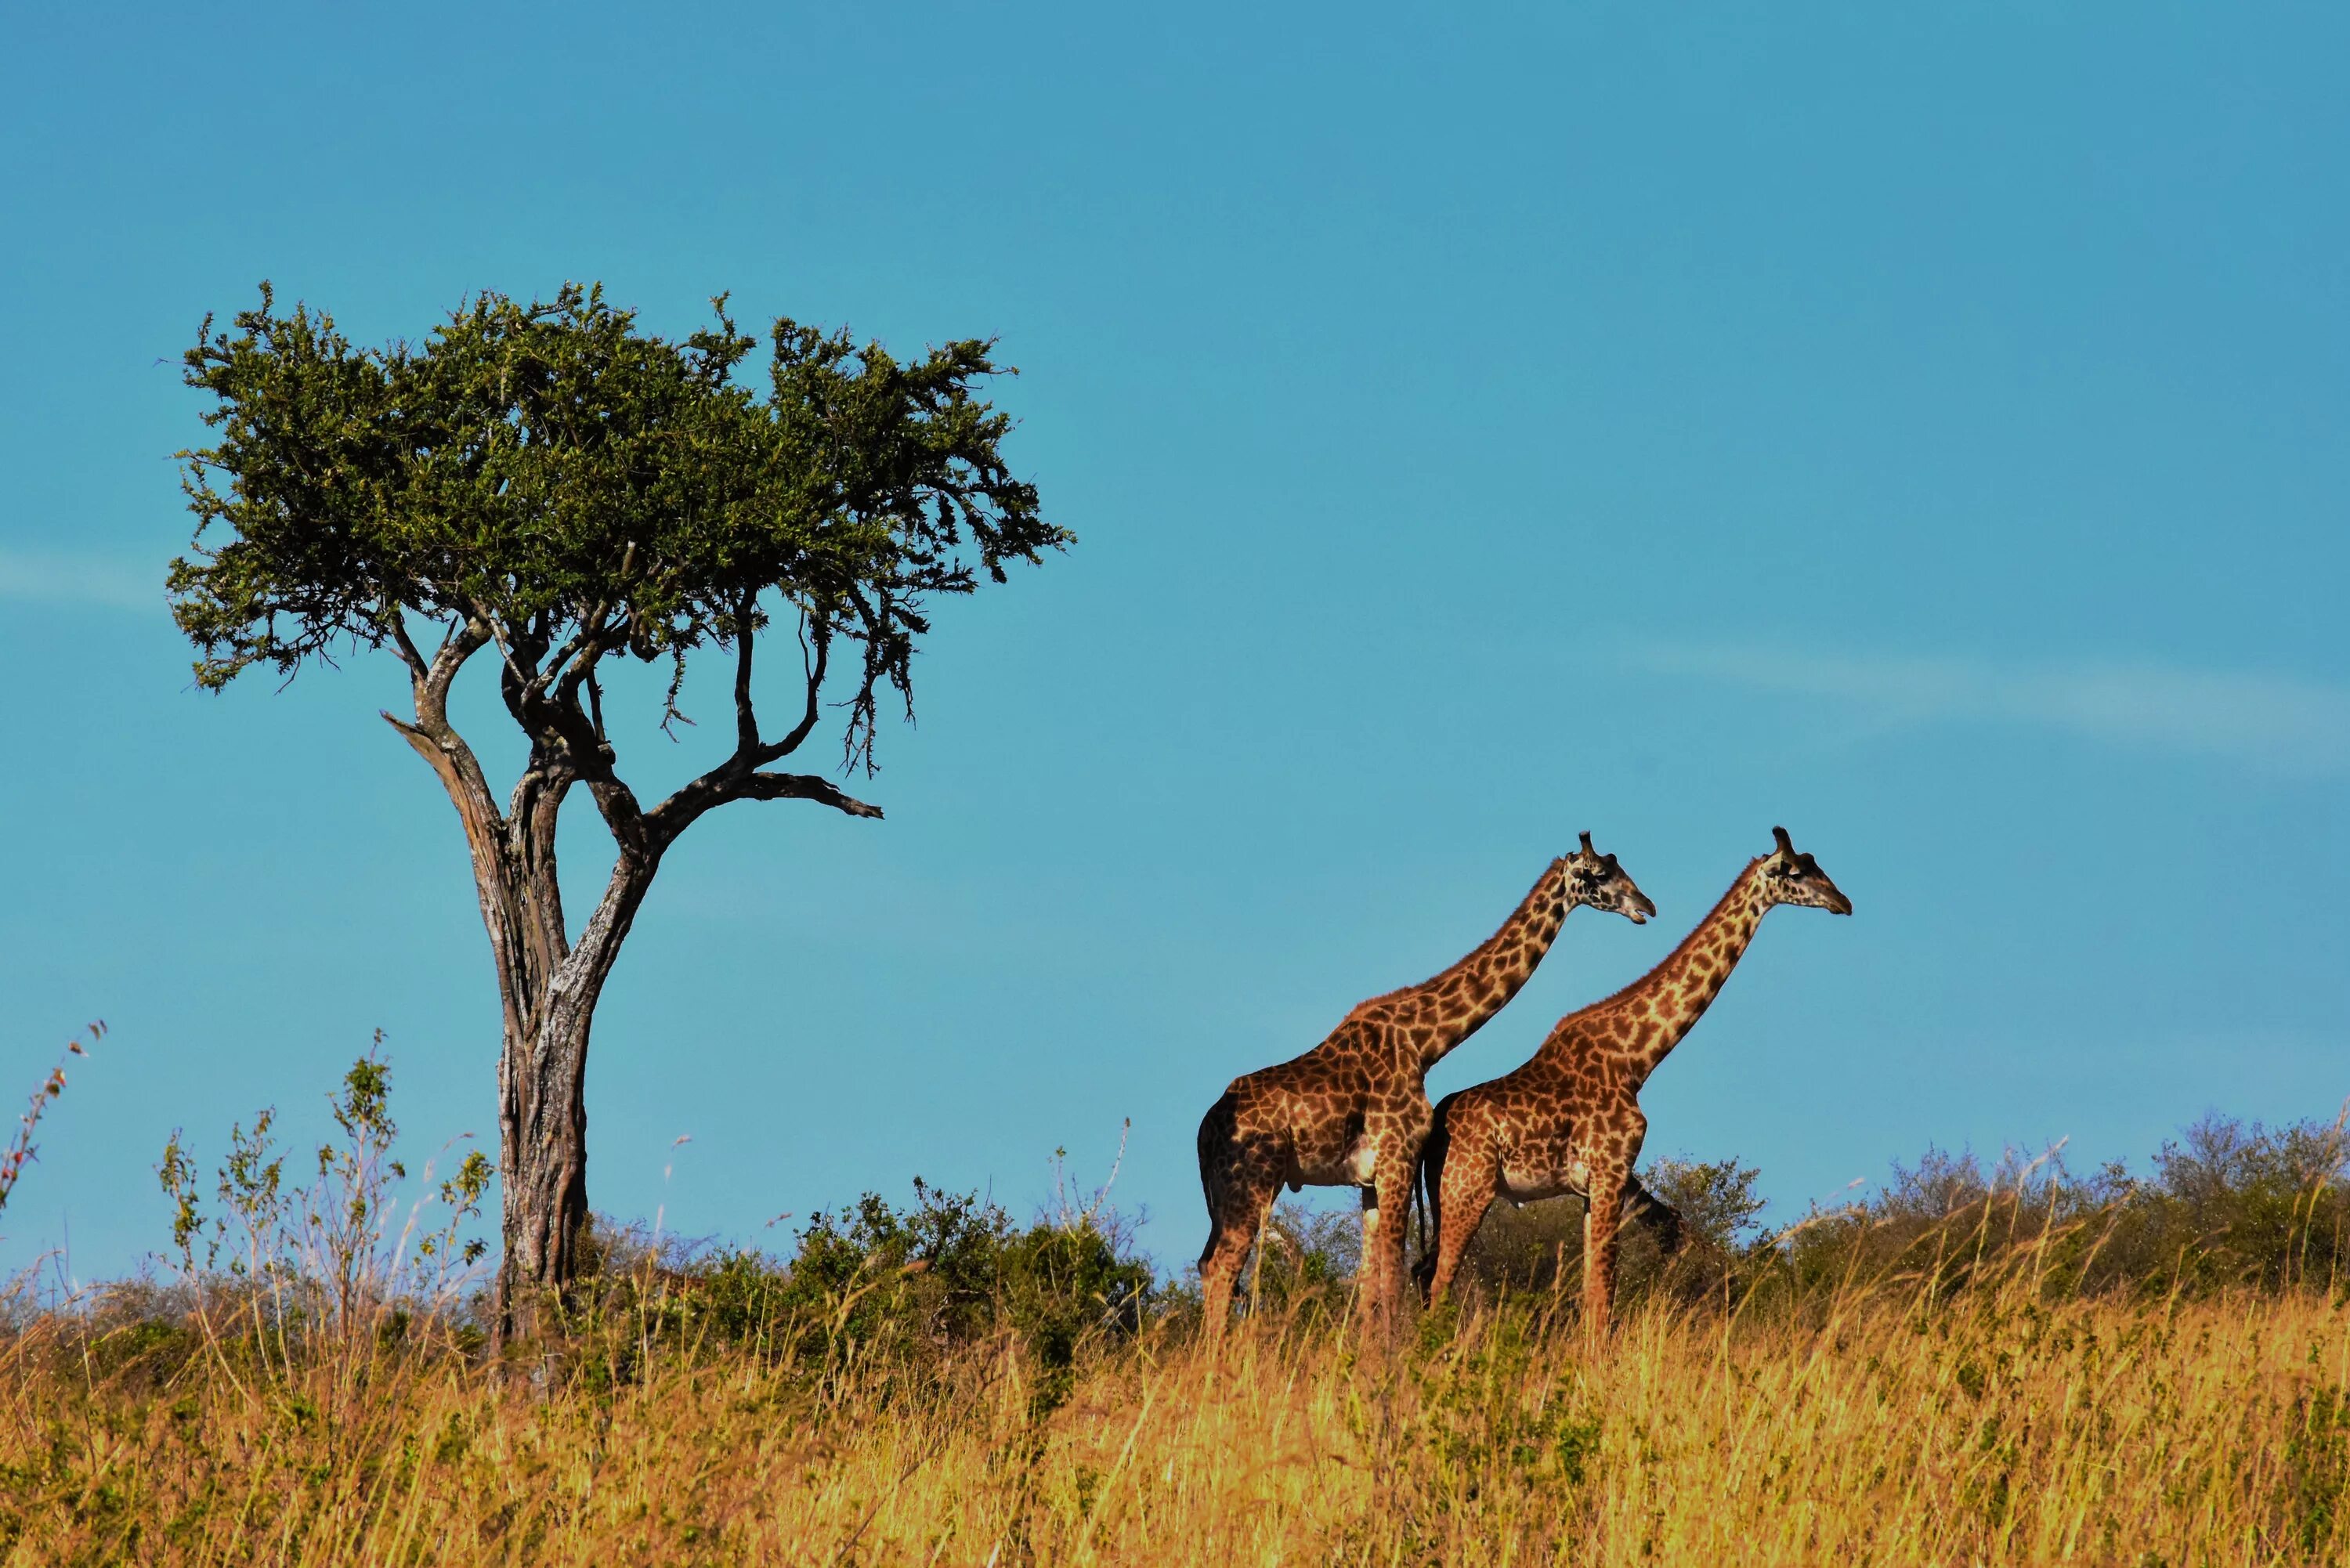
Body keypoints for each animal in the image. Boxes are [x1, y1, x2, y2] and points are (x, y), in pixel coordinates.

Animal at [1194, 832, 1654, 1353]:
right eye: (1599, 874)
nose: (1646, 906)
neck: (1423, 1043)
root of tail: (1204, 1134)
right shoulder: (1398, 1158)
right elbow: (1393, 1277)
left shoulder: (1370, 1179)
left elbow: (1371, 1282)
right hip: (1253, 1185)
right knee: (1224, 1266)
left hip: (1222, 1195)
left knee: (1208, 1264)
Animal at [1410, 827, 1852, 1344]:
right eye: (1797, 872)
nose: (1843, 901)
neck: (1636, 1058)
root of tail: (1435, 1130)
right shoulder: (1611, 1172)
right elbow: (1604, 1294)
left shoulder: (1596, 1186)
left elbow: (1596, 1291)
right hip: (1468, 1189)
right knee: (1440, 1279)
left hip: (1442, 1195)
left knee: (1424, 1272)